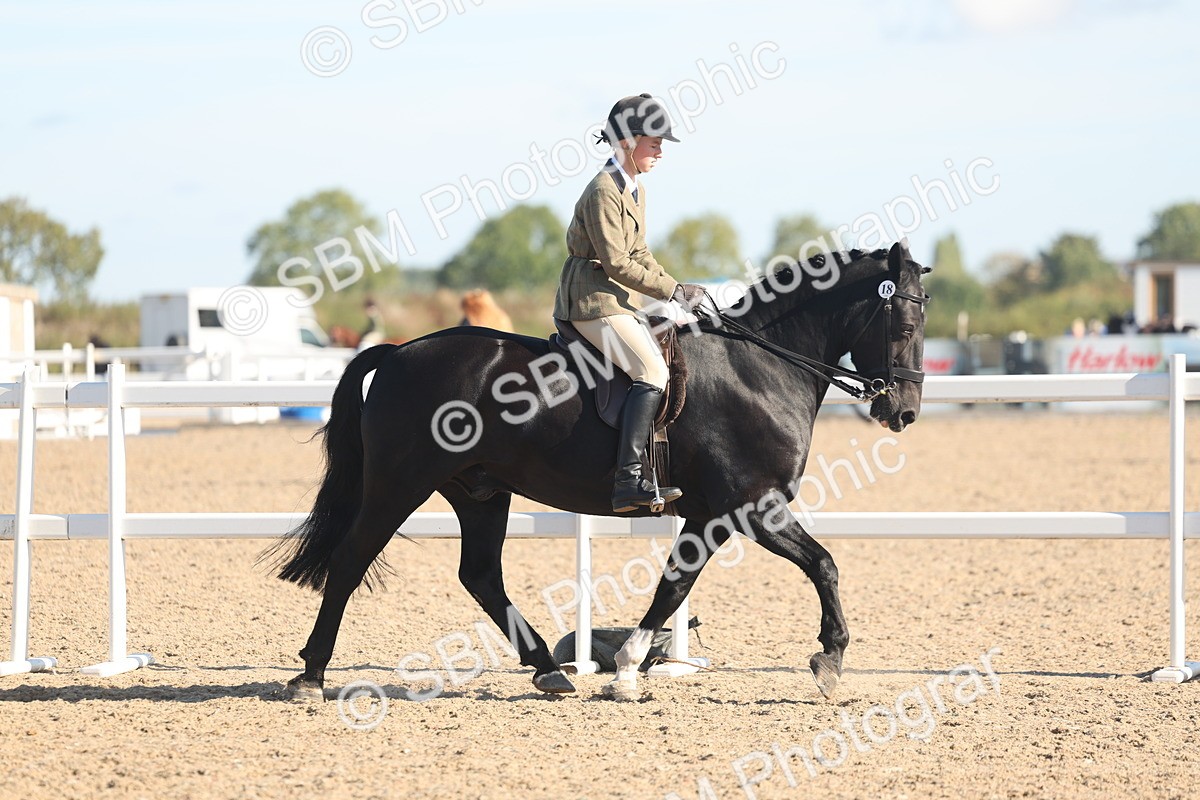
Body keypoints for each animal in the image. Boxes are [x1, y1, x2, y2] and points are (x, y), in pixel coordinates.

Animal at [267, 241, 929, 702]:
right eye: (903, 326)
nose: (902, 412)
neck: (759, 368)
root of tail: (401, 352)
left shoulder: (708, 515)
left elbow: (674, 586)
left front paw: (629, 669)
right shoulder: (752, 505)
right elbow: (822, 565)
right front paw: (829, 662)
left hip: (480, 492)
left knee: (480, 575)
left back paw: (548, 671)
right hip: (399, 485)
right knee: (350, 560)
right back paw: (312, 675)